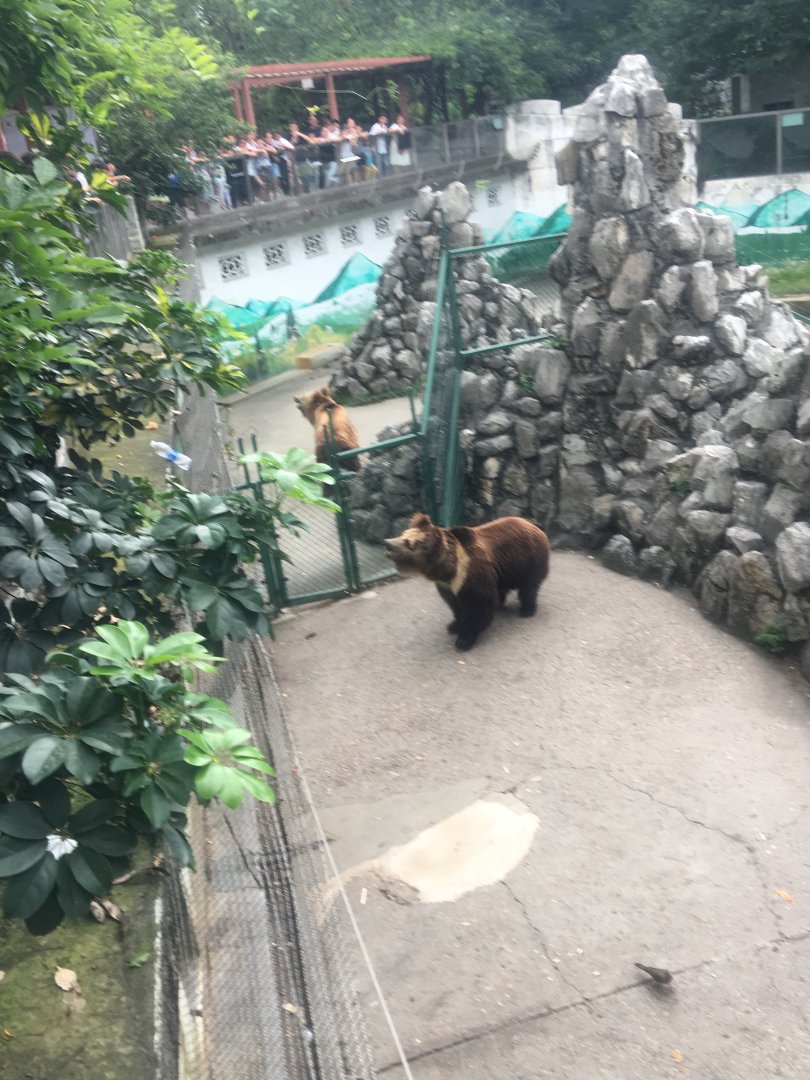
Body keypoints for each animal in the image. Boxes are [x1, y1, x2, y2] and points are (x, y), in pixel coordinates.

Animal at [384, 513, 550, 650]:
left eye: (408, 542)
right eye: (403, 533)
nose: (387, 543)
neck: (448, 571)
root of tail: (535, 526)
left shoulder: (470, 576)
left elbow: (477, 606)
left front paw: (464, 639)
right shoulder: (447, 586)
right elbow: (455, 606)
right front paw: (453, 625)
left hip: (528, 560)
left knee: (528, 588)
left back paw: (527, 610)